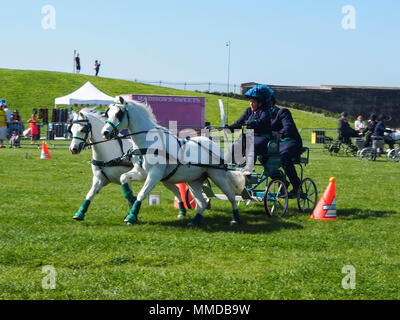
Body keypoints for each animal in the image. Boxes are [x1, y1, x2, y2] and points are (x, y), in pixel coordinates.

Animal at [101, 96, 244, 226]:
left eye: (119, 114)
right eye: (107, 113)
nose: (105, 133)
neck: (147, 143)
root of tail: (212, 144)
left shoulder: (154, 174)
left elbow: (142, 193)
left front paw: (131, 216)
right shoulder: (141, 172)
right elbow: (123, 177)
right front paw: (131, 198)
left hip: (217, 176)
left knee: (231, 195)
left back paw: (235, 219)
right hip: (193, 181)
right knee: (202, 202)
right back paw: (195, 221)